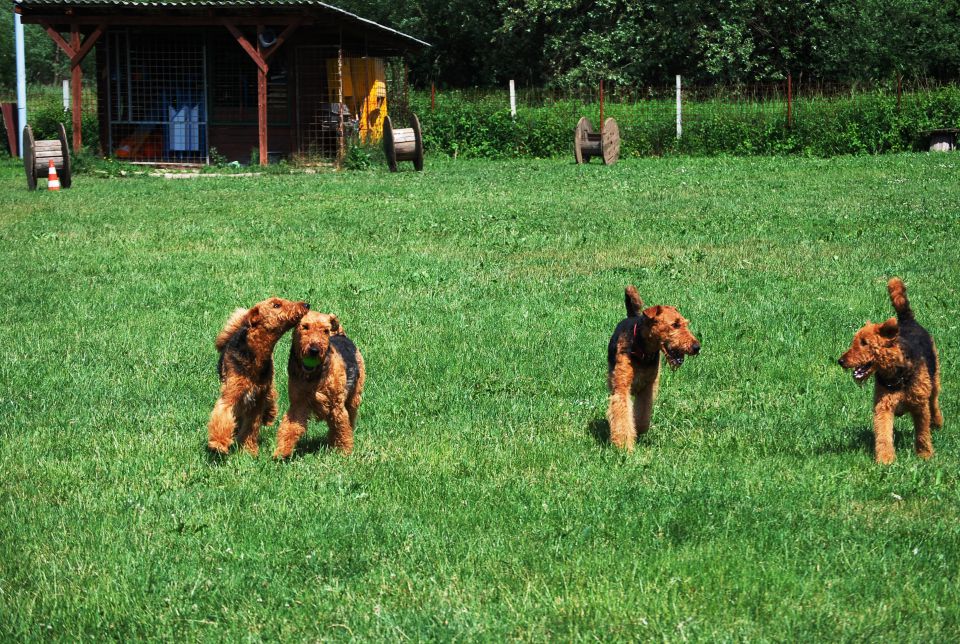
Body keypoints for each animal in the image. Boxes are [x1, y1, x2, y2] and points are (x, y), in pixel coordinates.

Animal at [208, 296, 310, 452]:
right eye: (276, 305)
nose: (306, 305)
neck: (256, 353)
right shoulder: (231, 394)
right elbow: (223, 415)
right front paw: (219, 443)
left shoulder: (257, 400)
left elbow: (252, 426)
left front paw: (249, 449)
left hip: (267, 385)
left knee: (271, 395)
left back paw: (269, 414)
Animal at [272, 312, 366, 458]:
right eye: (305, 326)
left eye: (325, 331)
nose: (314, 350)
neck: (313, 375)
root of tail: (341, 335)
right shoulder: (298, 404)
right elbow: (289, 427)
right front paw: (282, 451)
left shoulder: (336, 405)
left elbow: (342, 429)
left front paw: (344, 452)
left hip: (353, 397)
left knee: (349, 420)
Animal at [604, 284, 700, 450]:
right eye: (675, 324)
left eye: (685, 323)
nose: (696, 347)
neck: (643, 350)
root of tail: (632, 316)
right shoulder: (622, 386)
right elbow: (622, 413)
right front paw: (624, 444)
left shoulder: (647, 387)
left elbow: (643, 413)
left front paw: (638, 429)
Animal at [840, 276, 944, 462]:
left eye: (864, 343)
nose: (841, 361)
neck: (897, 374)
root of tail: (907, 320)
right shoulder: (883, 406)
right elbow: (883, 433)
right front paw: (885, 459)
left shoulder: (919, 405)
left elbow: (922, 433)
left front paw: (925, 454)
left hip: (934, 380)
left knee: (934, 403)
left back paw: (937, 423)